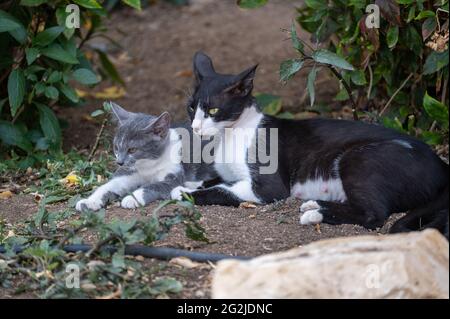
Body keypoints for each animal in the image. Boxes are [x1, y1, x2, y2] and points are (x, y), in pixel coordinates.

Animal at [75, 103, 216, 212]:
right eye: (116, 147)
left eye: (132, 149)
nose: (119, 162)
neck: (148, 165)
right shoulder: (126, 173)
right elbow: (108, 186)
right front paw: (89, 201)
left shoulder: (173, 177)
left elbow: (152, 186)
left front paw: (132, 198)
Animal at [171, 52, 448, 238]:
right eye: (191, 108)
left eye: (213, 110)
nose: (195, 127)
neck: (230, 135)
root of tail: (441, 165)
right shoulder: (227, 173)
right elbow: (213, 180)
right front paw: (192, 184)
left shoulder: (268, 188)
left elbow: (221, 189)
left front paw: (183, 192)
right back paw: (316, 204)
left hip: (359, 159)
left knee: (374, 215)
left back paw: (315, 214)